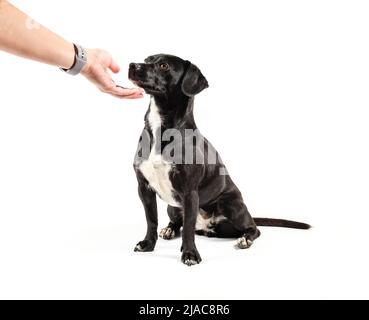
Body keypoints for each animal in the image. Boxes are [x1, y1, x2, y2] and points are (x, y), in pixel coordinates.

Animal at [128, 54, 310, 264]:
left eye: (164, 65)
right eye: (147, 59)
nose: (132, 65)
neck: (161, 129)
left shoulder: (190, 193)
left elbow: (188, 228)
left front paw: (190, 253)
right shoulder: (144, 188)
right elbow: (151, 220)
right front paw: (148, 244)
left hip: (232, 206)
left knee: (254, 229)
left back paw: (245, 239)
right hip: (173, 207)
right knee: (177, 222)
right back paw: (170, 229)